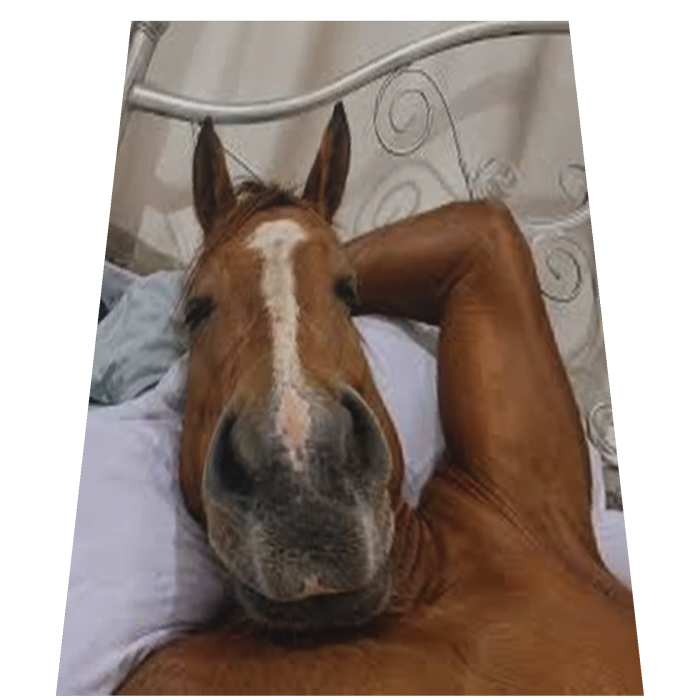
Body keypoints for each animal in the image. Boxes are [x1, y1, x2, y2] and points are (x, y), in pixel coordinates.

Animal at [117, 103, 643, 695]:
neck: (411, 603)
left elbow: (483, 220)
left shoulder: (525, 493)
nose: (302, 479)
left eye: (348, 290)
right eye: (197, 310)